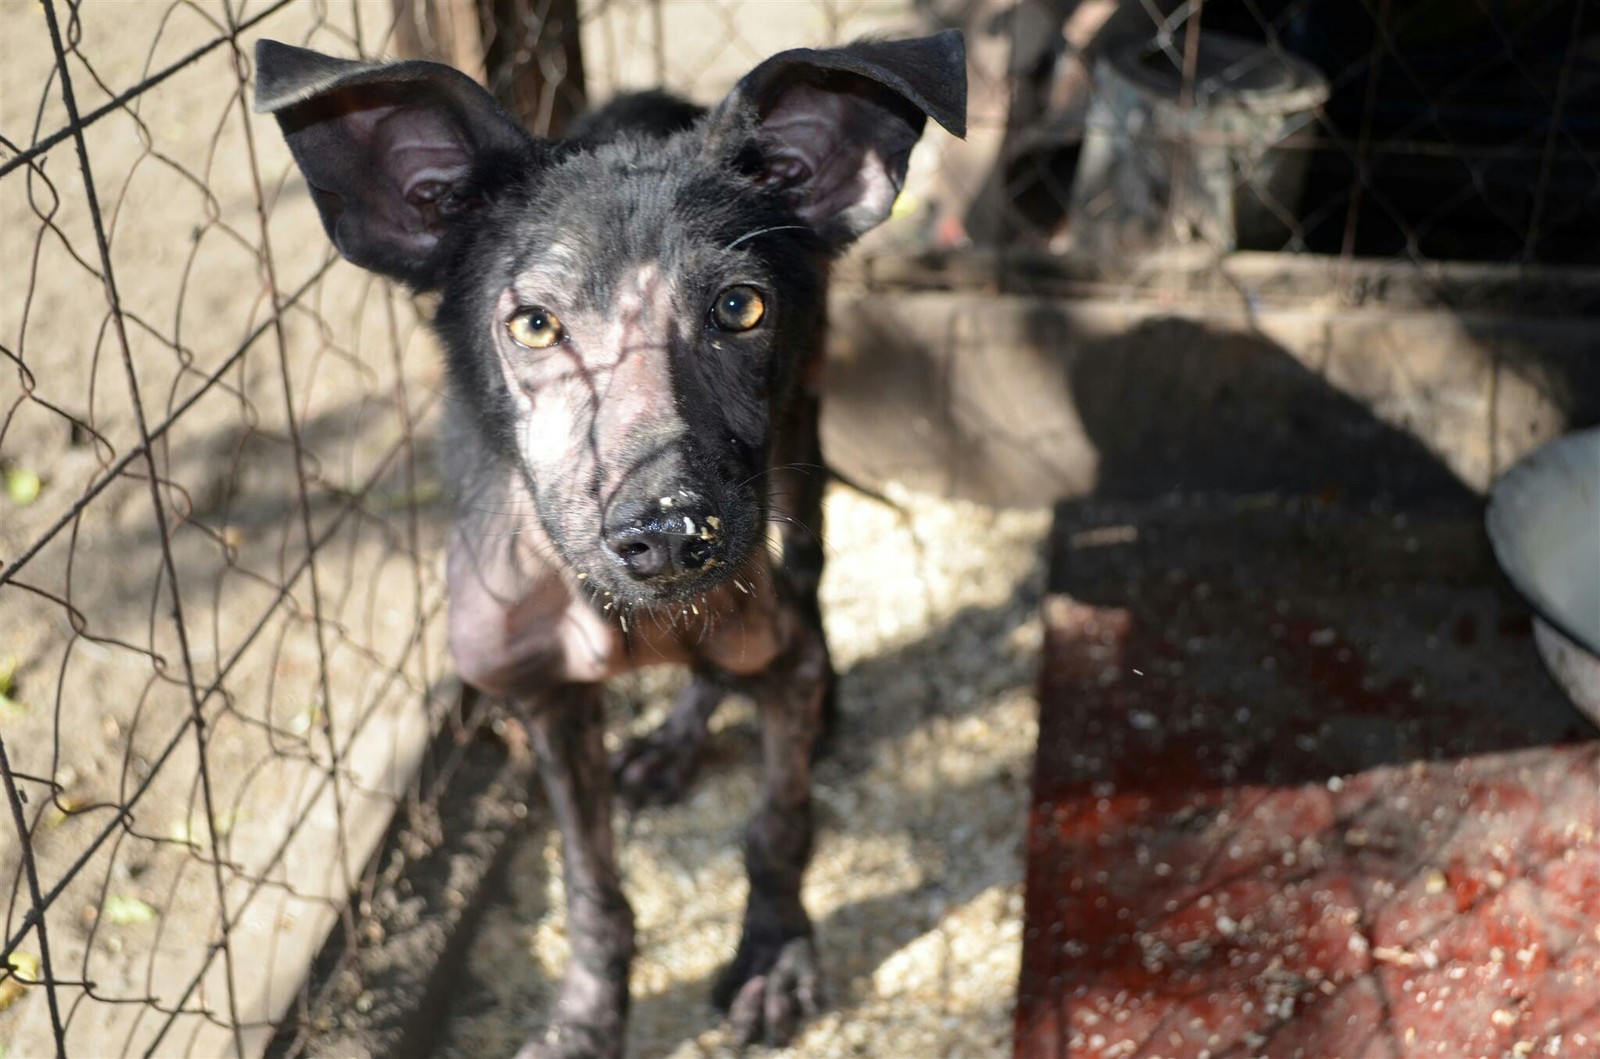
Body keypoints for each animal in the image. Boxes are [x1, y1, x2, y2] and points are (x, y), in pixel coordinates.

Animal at [256, 28, 966, 1055]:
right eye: (534, 323)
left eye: (741, 308)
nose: (670, 533)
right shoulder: (544, 704)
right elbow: (591, 887)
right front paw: (589, 1015)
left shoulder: (768, 639)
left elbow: (777, 824)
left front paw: (775, 953)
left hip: (800, 446)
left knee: (804, 578)